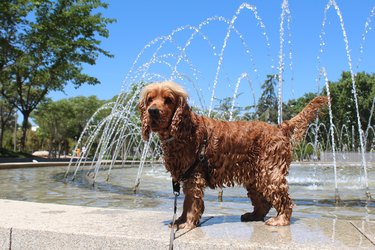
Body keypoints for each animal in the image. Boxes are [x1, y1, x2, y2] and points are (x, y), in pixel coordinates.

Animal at [139, 81, 328, 228]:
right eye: (150, 99)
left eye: (168, 100)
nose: (152, 111)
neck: (183, 130)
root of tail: (280, 127)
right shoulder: (185, 175)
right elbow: (186, 202)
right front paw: (180, 220)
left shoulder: (194, 176)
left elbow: (191, 202)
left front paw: (187, 223)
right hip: (255, 177)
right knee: (263, 204)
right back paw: (253, 216)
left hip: (270, 173)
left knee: (285, 201)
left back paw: (280, 220)